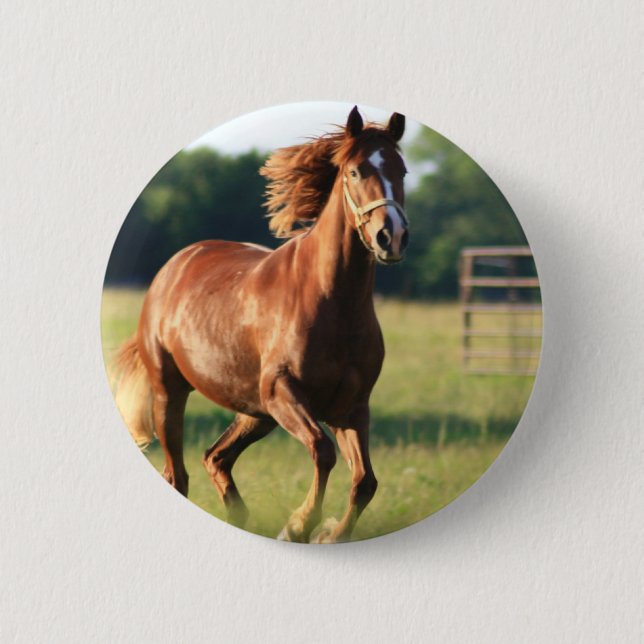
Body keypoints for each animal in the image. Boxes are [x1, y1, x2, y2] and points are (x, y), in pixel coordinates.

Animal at [111, 106, 409, 543]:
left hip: (255, 412)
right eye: (355, 171)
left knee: (215, 458)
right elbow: (323, 451)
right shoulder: (282, 392)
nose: (392, 236)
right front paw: (299, 524)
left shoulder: (351, 408)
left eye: (401, 170)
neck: (332, 304)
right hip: (172, 394)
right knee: (177, 475)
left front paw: (329, 533)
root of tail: (174, 266)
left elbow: (365, 482)